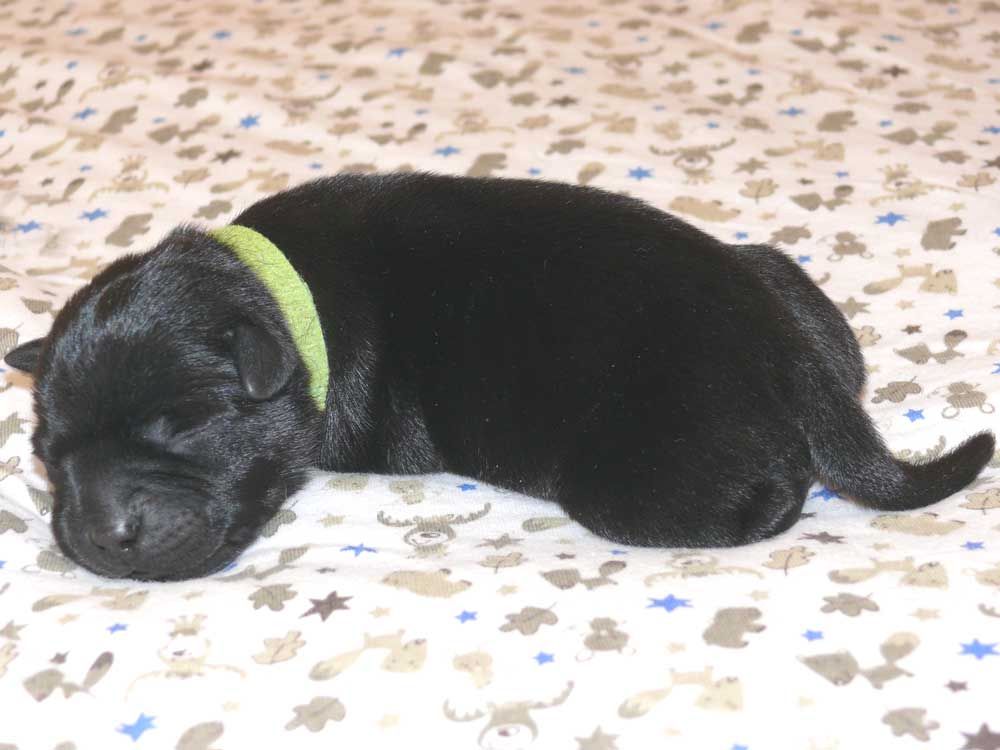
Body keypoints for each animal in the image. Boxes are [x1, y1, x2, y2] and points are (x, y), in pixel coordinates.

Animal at [5, 172, 994, 581]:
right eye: (47, 455)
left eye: (181, 426)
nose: (98, 537)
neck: (279, 290)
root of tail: (784, 346)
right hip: (789, 282)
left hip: (636, 476)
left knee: (762, 494)